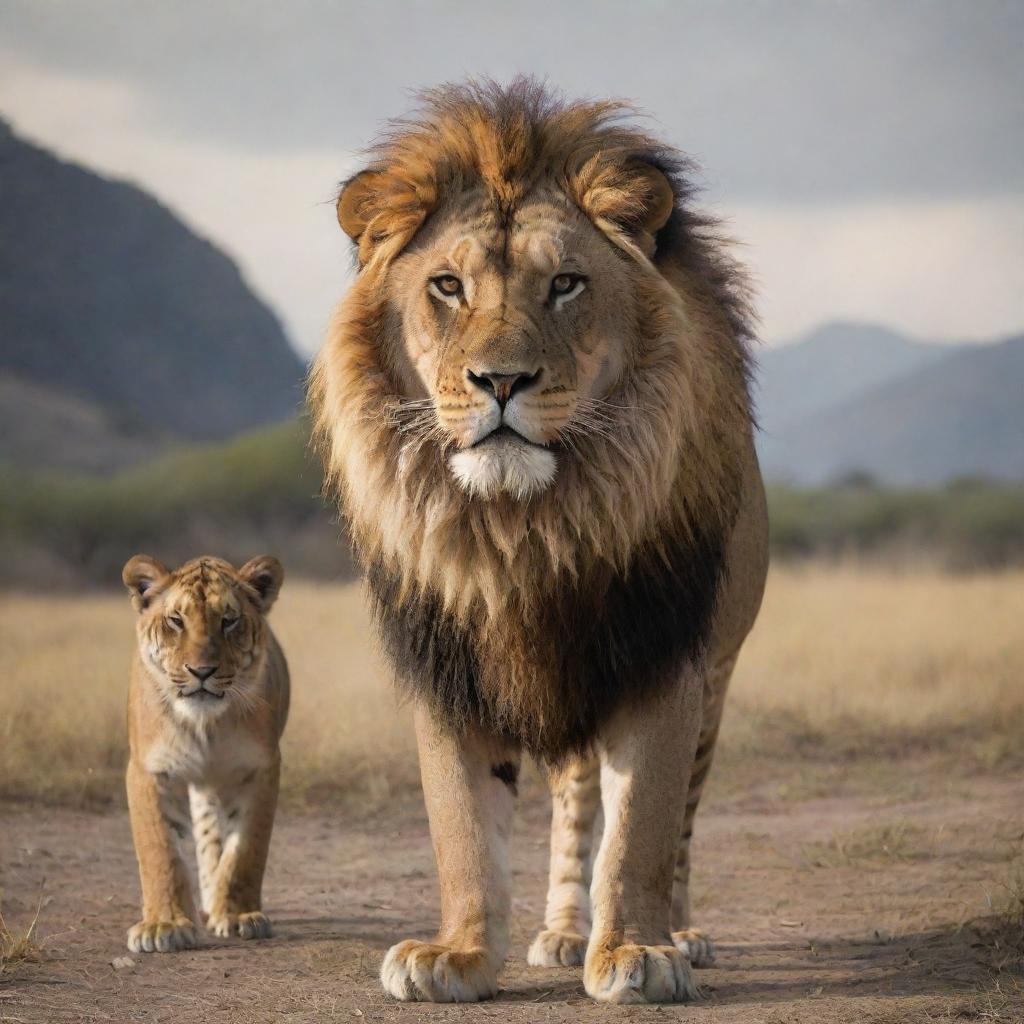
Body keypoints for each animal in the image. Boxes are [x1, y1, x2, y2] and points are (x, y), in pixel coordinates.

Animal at [119, 552, 288, 950]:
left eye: (229, 621)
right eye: (176, 620)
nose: (201, 671)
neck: (204, 725)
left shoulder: (260, 769)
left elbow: (245, 850)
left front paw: (240, 916)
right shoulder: (149, 770)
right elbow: (160, 848)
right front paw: (163, 925)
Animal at [311, 81, 770, 1007]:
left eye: (565, 284)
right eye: (447, 286)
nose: (501, 380)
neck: (522, 531)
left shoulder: (663, 653)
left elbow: (641, 829)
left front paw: (637, 951)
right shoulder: (448, 661)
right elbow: (463, 827)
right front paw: (455, 954)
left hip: (716, 673)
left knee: (679, 822)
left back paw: (678, 931)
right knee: (573, 798)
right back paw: (563, 932)